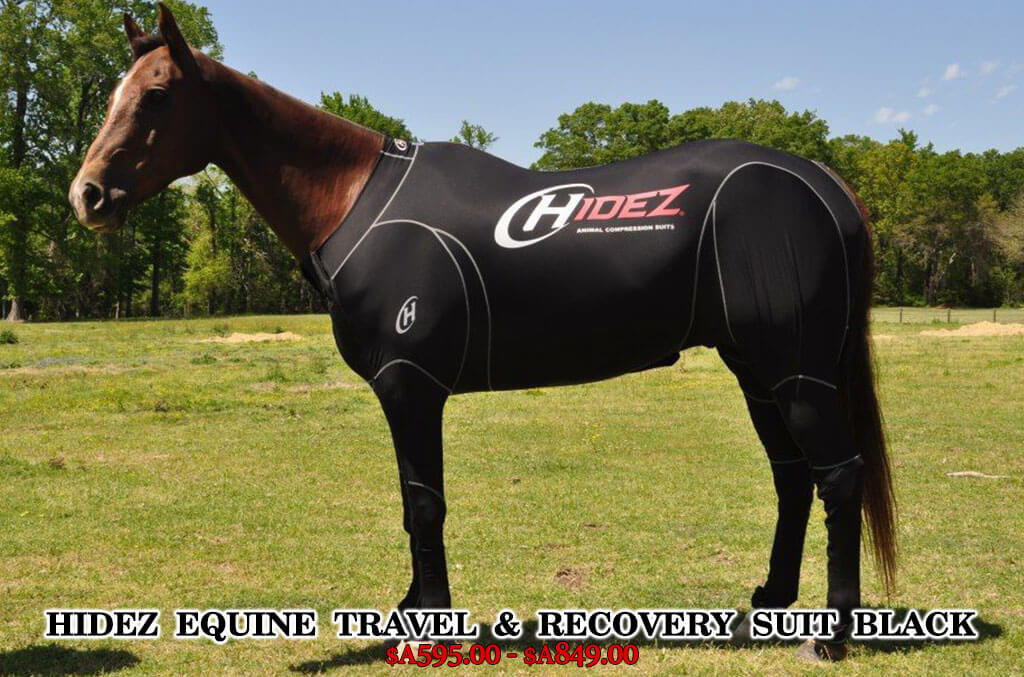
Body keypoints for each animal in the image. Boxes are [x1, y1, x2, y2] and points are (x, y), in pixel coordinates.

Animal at [70, 4, 896, 661]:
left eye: (157, 95)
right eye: (115, 95)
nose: (88, 195)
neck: (354, 202)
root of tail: (822, 181)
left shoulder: (410, 386)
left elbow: (423, 504)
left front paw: (428, 623)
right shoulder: (406, 391)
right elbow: (414, 497)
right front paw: (410, 610)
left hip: (795, 372)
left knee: (837, 474)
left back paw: (834, 633)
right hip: (758, 370)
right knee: (792, 476)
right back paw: (771, 602)